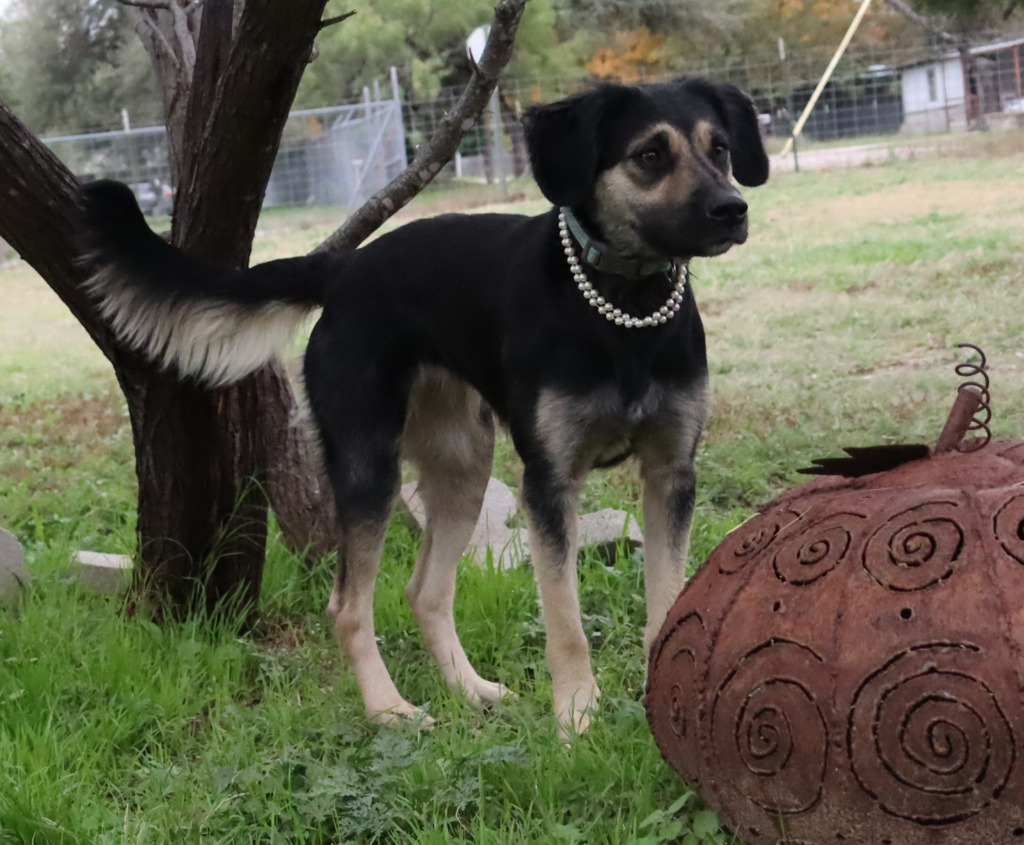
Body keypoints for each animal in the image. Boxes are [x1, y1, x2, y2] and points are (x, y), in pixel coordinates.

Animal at [79, 78, 770, 737]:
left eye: (720, 149)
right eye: (650, 155)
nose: (732, 210)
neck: (622, 309)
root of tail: (345, 267)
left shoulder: (671, 474)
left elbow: (668, 601)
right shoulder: (550, 484)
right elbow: (566, 622)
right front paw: (576, 718)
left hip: (464, 468)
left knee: (426, 592)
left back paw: (471, 690)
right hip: (369, 465)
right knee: (348, 607)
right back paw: (390, 709)